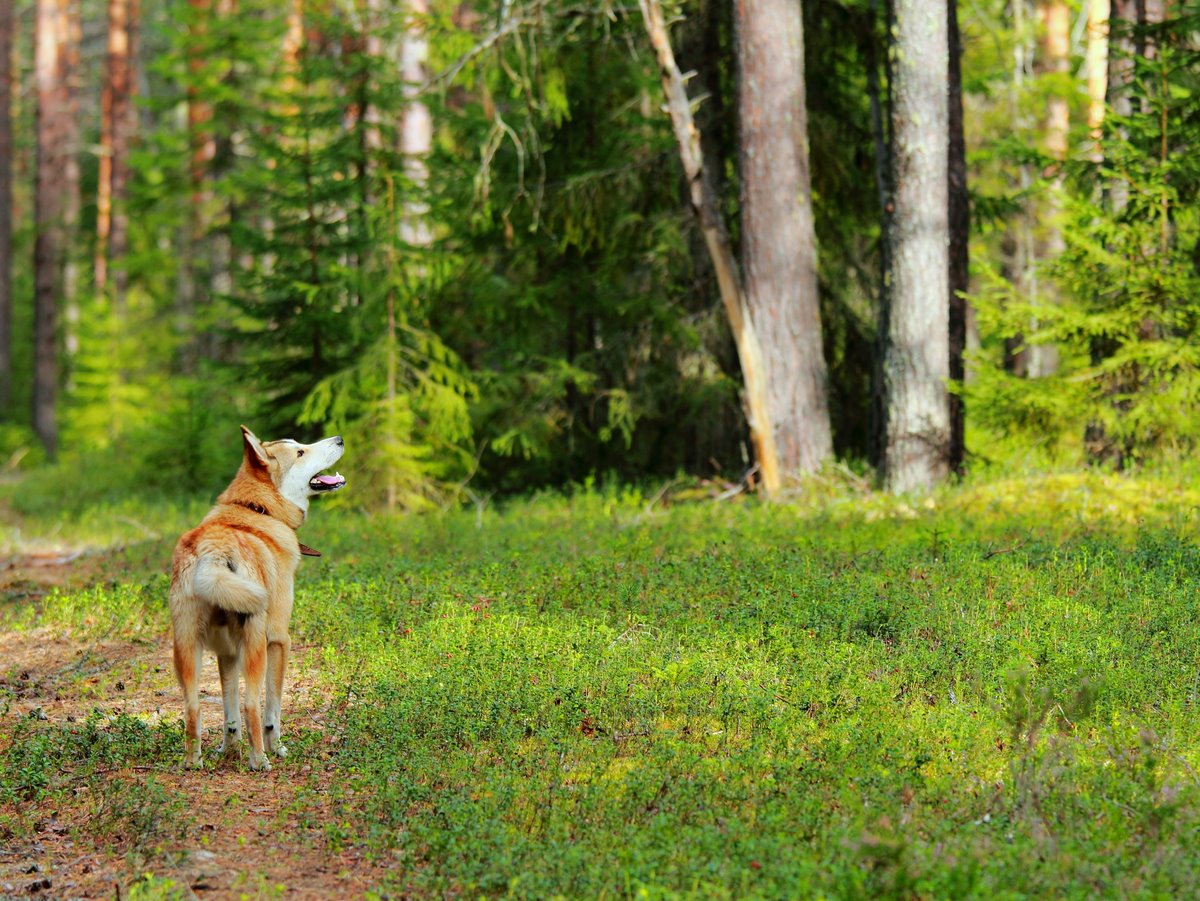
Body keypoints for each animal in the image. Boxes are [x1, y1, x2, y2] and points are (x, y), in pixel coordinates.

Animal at [165, 427, 343, 772]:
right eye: (300, 452)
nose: (340, 439)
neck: (256, 509)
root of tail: (213, 550)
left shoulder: (226, 653)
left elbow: (229, 714)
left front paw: (228, 750)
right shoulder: (279, 641)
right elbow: (272, 709)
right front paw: (277, 748)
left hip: (187, 649)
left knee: (193, 709)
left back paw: (194, 761)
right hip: (255, 647)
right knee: (252, 706)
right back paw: (260, 760)